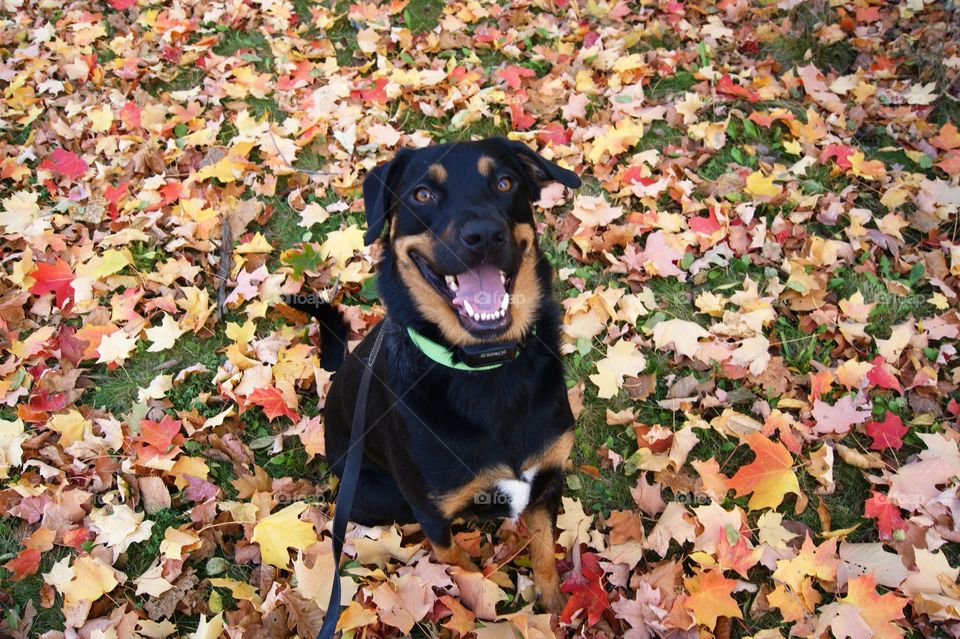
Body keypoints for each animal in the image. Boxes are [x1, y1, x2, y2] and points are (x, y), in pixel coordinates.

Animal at [292, 141, 580, 616]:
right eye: (422, 194)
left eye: (506, 182)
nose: (483, 235)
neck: (484, 366)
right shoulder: (431, 511)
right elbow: (458, 562)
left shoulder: (545, 483)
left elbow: (543, 553)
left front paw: (555, 607)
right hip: (380, 496)